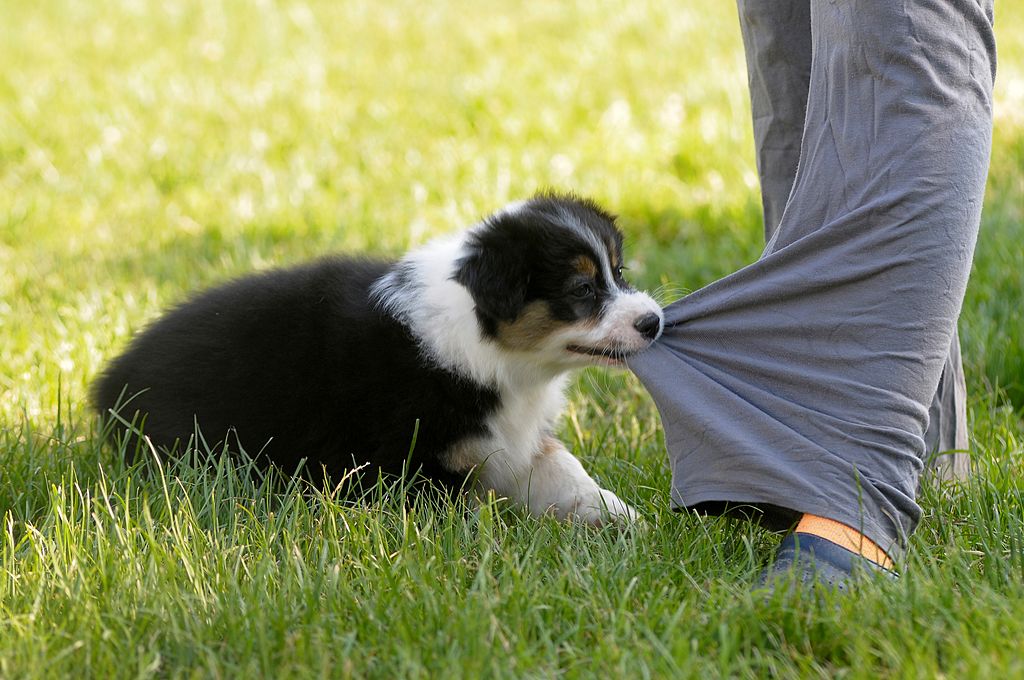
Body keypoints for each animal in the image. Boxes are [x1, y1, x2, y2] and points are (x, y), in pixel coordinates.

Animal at [96, 195, 663, 524]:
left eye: (619, 272)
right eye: (582, 289)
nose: (653, 322)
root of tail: (109, 380)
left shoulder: (514, 441)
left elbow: (565, 472)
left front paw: (625, 519)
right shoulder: (412, 462)